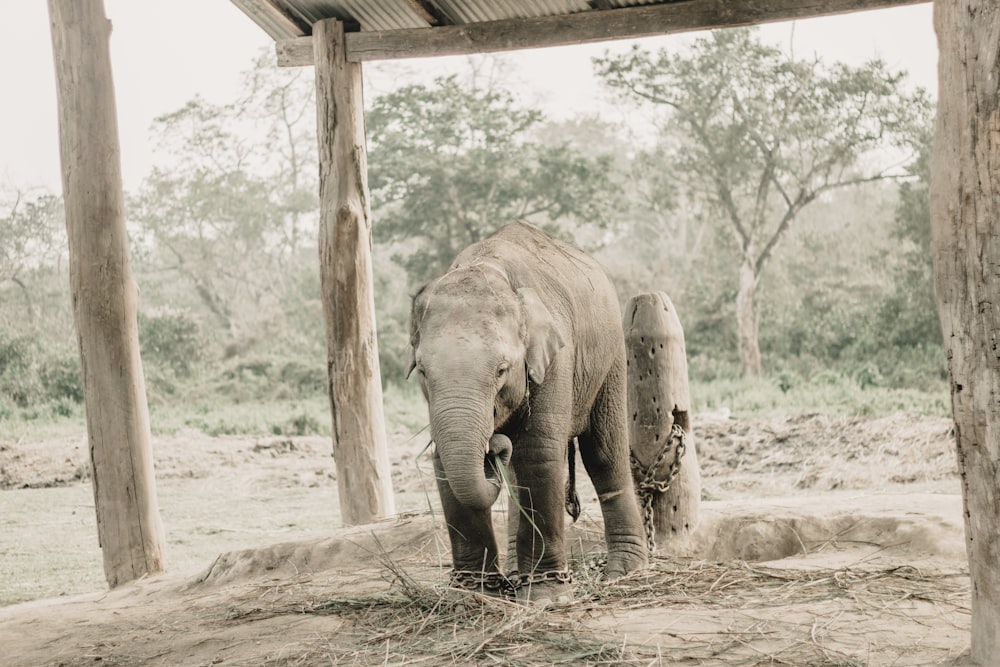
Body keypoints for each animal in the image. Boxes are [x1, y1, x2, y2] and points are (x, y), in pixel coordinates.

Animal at [408, 220, 648, 604]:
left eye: (502, 370)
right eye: (423, 372)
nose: (493, 447)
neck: (488, 266)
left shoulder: (556, 358)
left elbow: (538, 452)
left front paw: (546, 595)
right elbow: (443, 457)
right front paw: (473, 593)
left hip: (610, 358)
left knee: (603, 456)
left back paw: (625, 572)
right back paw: (513, 573)